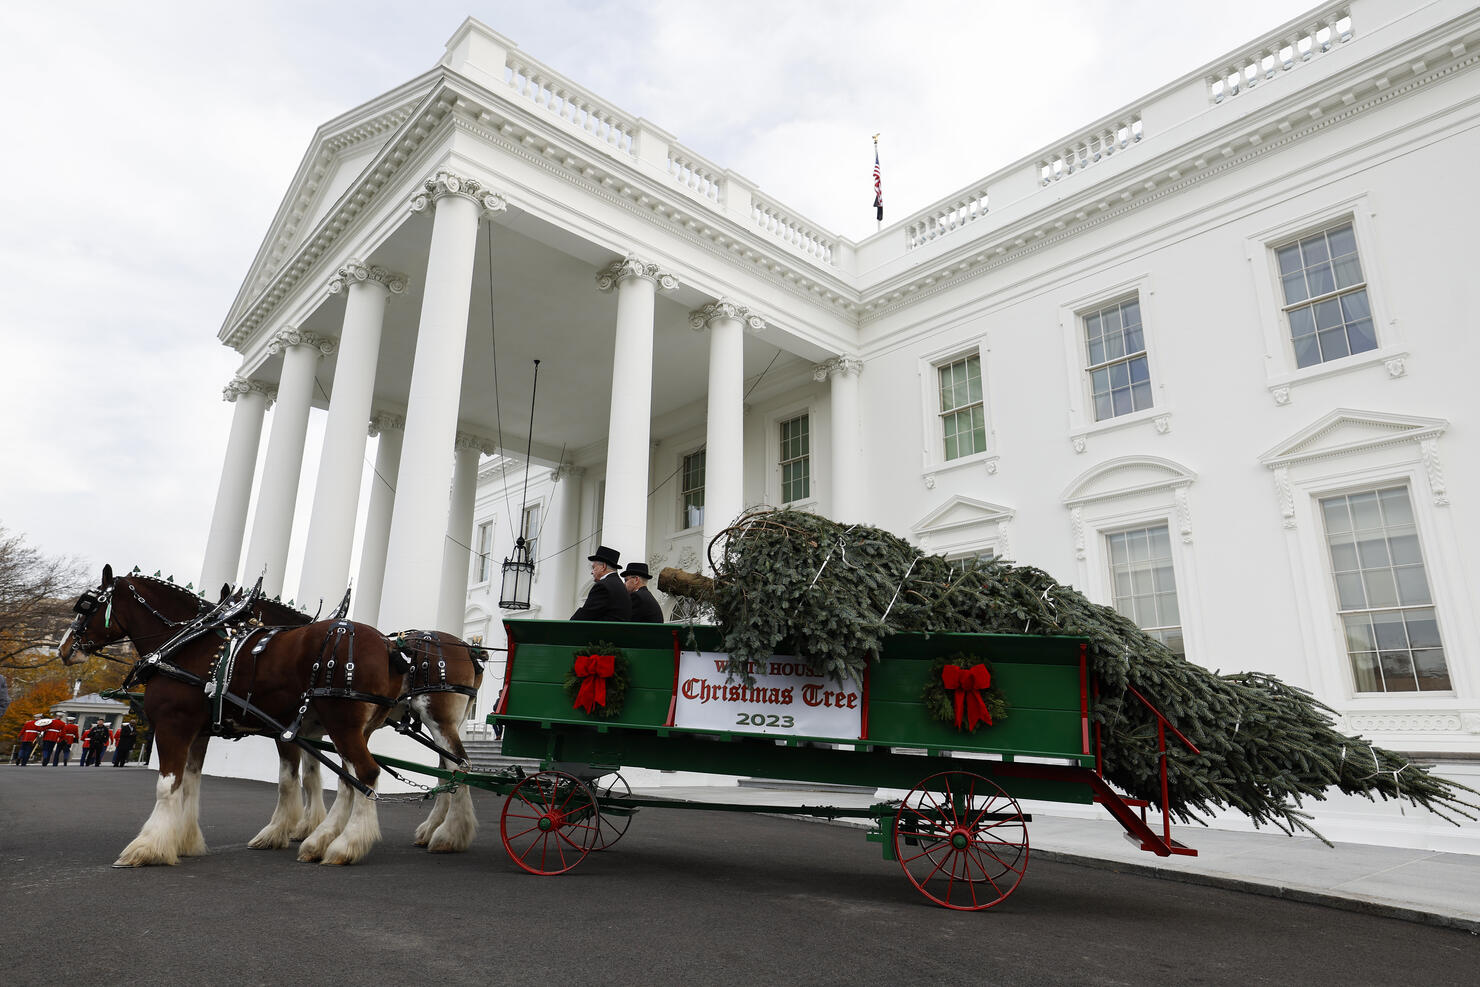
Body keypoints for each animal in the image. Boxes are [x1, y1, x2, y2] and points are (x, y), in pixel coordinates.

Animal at [59, 568, 405, 870]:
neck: (188, 644)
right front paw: (185, 841)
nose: (64, 648)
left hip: (342, 724)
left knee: (366, 773)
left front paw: (147, 847)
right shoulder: (201, 731)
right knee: (351, 779)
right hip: (356, 729)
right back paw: (325, 840)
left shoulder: (175, 724)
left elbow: (168, 785)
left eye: (87, 604)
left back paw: (345, 844)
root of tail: (388, 644)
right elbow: (191, 783)